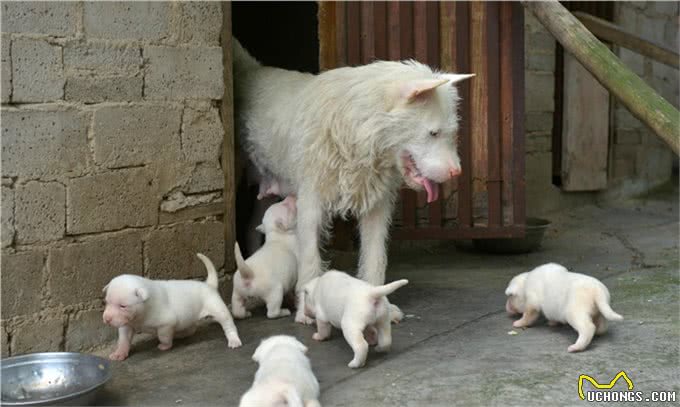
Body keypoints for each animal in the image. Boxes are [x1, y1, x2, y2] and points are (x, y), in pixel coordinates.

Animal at [99, 253, 240, 362]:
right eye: (106, 302)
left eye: (123, 306)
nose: (106, 319)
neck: (140, 314)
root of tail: (209, 285)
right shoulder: (126, 325)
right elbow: (123, 340)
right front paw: (119, 353)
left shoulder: (166, 323)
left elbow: (163, 335)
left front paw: (165, 346)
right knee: (191, 328)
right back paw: (180, 334)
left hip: (218, 308)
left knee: (228, 324)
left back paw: (234, 340)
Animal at [234, 39, 472, 324]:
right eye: (433, 133)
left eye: (450, 133)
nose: (456, 173)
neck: (360, 132)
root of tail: (251, 71)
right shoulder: (311, 203)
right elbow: (310, 259)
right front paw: (305, 312)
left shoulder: (377, 207)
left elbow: (375, 258)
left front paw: (380, 304)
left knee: (252, 224)